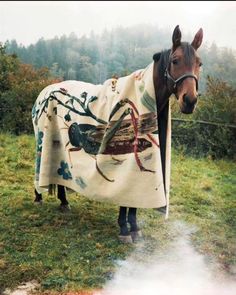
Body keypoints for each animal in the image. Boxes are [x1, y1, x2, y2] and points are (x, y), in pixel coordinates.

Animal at [32, 26, 204, 243]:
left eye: (199, 63)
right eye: (175, 60)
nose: (190, 101)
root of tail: (45, 91)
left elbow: (135, 200)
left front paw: (134, 227)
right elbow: (124, 197)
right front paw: (124, 228)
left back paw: (63, 201)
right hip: (42, 139)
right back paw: (38, 196)